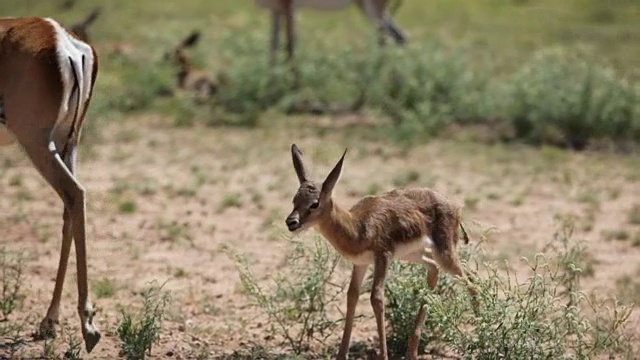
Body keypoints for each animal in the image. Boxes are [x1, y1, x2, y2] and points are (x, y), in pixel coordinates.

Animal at [0, 16, 100, 352]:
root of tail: (65, 42)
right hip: (68, 141)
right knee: (70, 206)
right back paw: (50, 321)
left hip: (37, 142)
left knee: (74, 193)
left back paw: (87, 326)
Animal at [284, 144, 476, 360]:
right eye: (295, 199)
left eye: (315, 203)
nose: (291, 222)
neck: (357, 226)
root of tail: (454, 206)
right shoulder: (360, 263)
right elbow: (352, 296)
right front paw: (341, 355)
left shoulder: (383, 257)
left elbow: (376, 299)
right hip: (415, 255)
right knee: (437, 270)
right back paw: (413, 349)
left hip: (444, 254)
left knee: (471, 280)